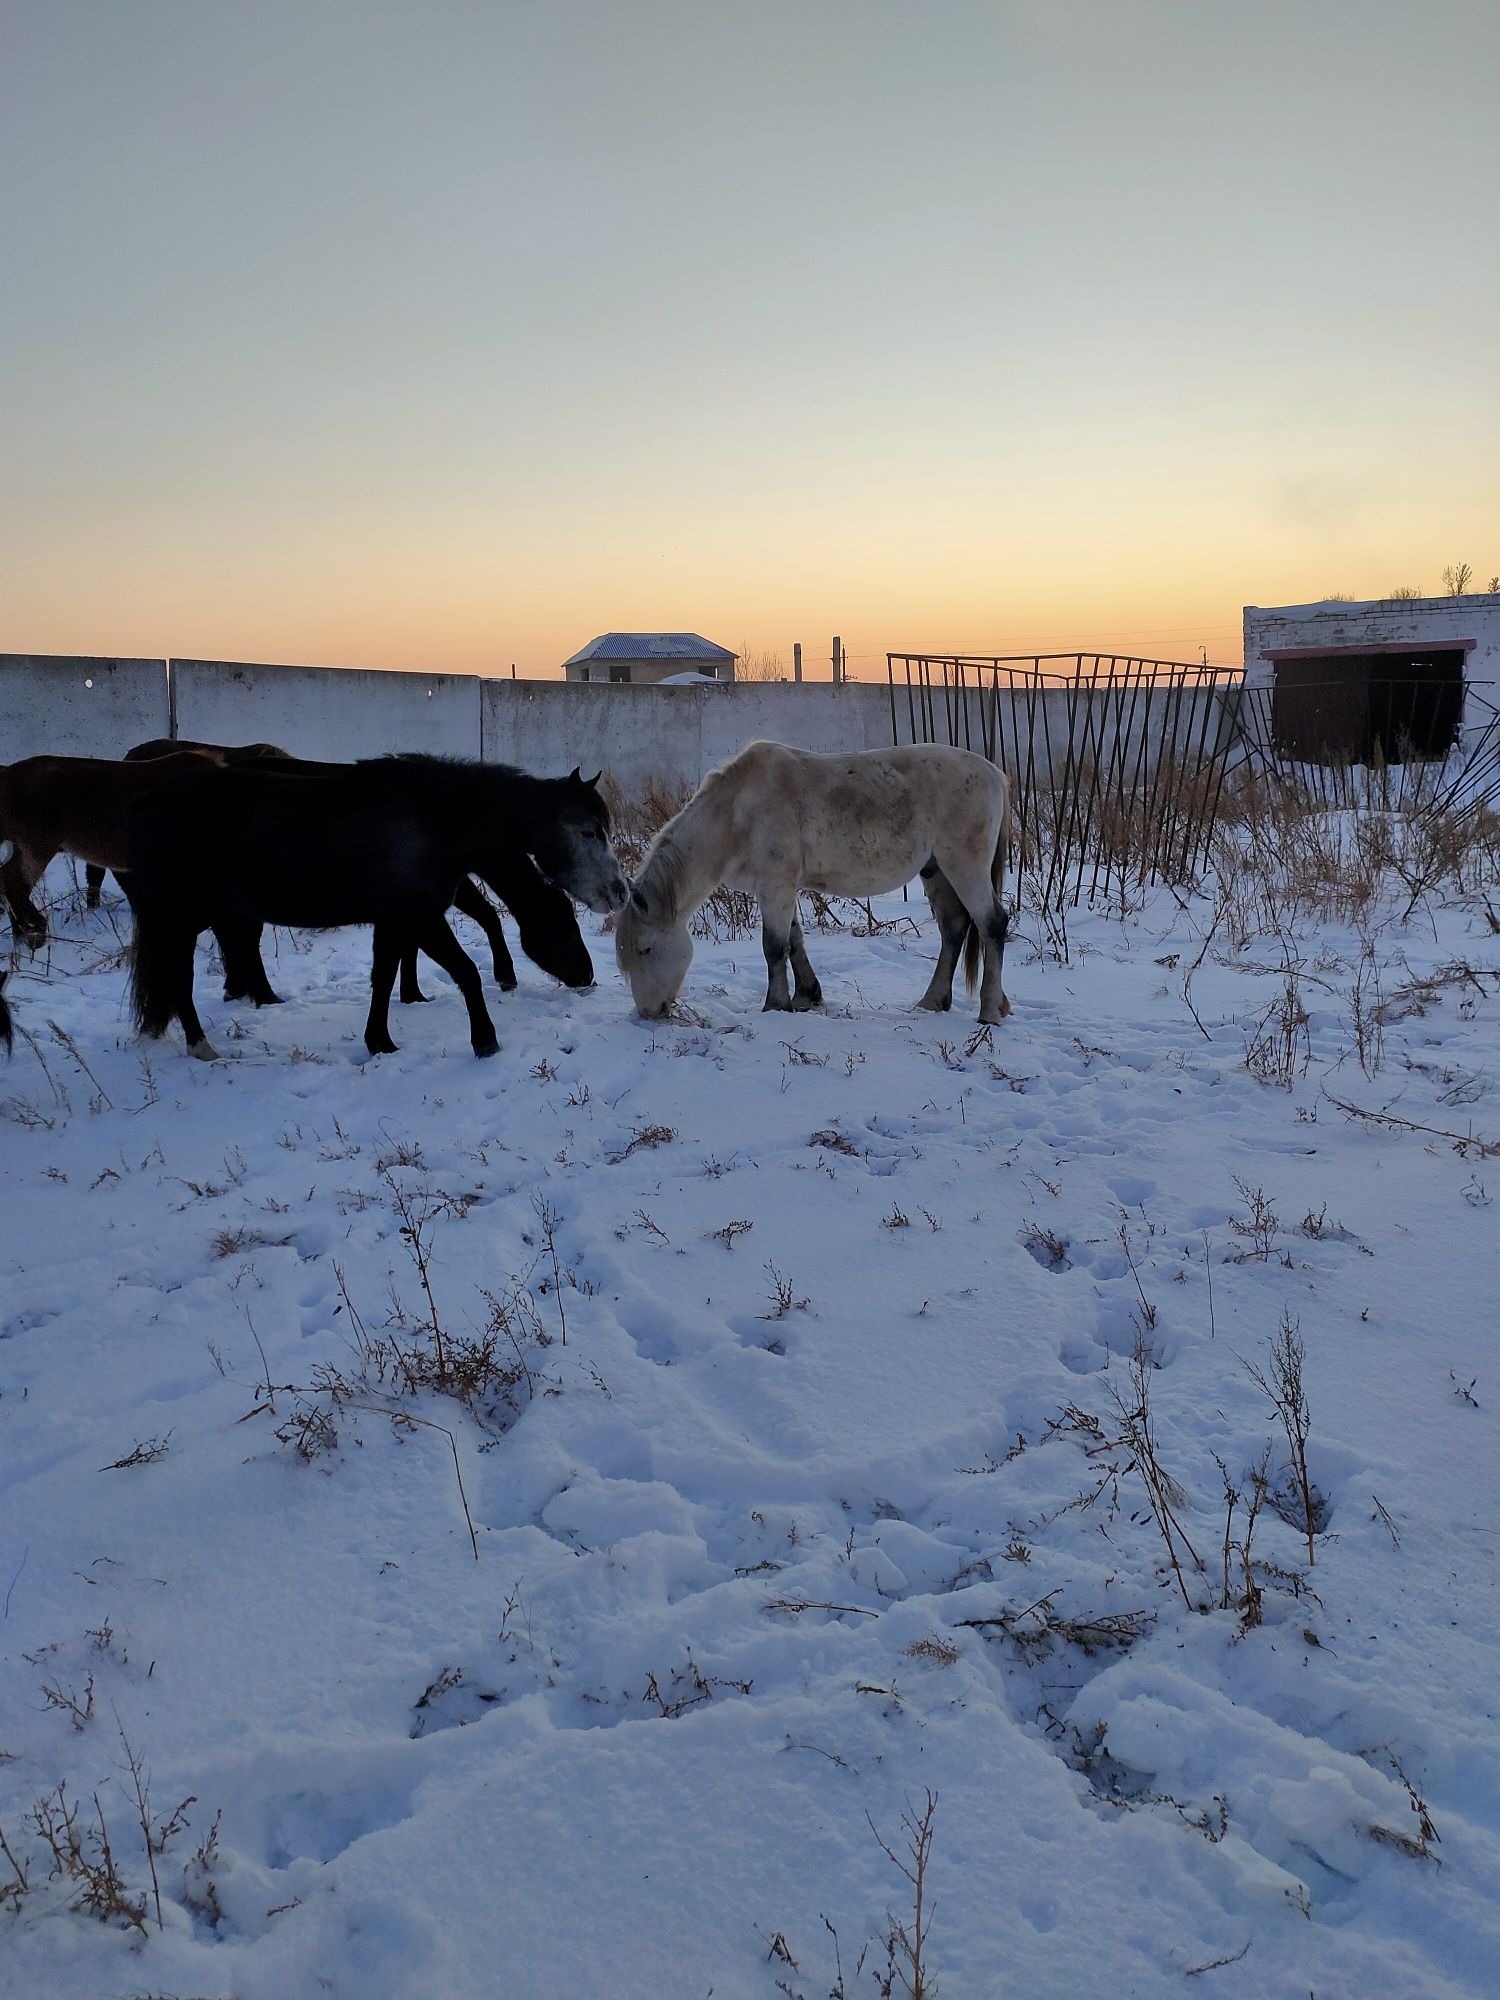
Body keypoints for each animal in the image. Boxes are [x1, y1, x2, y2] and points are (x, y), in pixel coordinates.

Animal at [122, 752, 628, 1064]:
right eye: (587, 831)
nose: (621, 892)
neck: (435, 819)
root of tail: (144, 806)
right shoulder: (421, 918)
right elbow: (465, 972)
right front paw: (485, 1041)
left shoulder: (395, 920)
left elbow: (384, 977)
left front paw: (380, 1042)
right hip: (179, 919)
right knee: (179, 979)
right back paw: (202, 1046)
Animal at [616, 740, 1016, 1032]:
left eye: (646, 949)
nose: (649, 1013)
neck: (737, 813)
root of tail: (994, 773)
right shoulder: (780, 889)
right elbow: (794, 942)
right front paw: (806, 997)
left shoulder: (775, 886)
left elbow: (773, 947)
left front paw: (775, 1006)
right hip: (937, 872)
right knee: (954, 929)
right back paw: (932, 1002)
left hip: (964, 867)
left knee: (992, 924)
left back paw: (989, 1011)